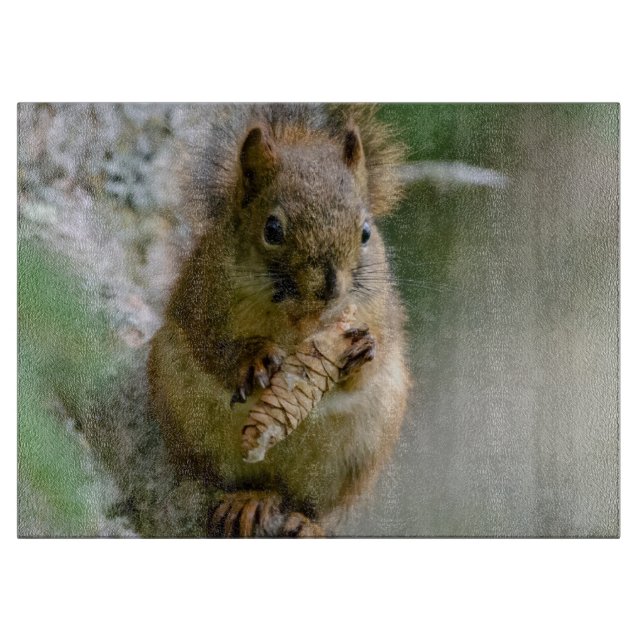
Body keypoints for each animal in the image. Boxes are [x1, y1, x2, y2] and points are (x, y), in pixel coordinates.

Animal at [147, 104, 410, 537]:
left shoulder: (379, 312)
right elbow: (214, 348)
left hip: (359, 452)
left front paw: (362, 349)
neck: (300, 321)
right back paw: (246, 500)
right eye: (272, 229)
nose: (330, 286)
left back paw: (304, 520)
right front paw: (253, 360)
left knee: (308, 503)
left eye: (366, 232)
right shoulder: (204, 302)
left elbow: (369, 365)